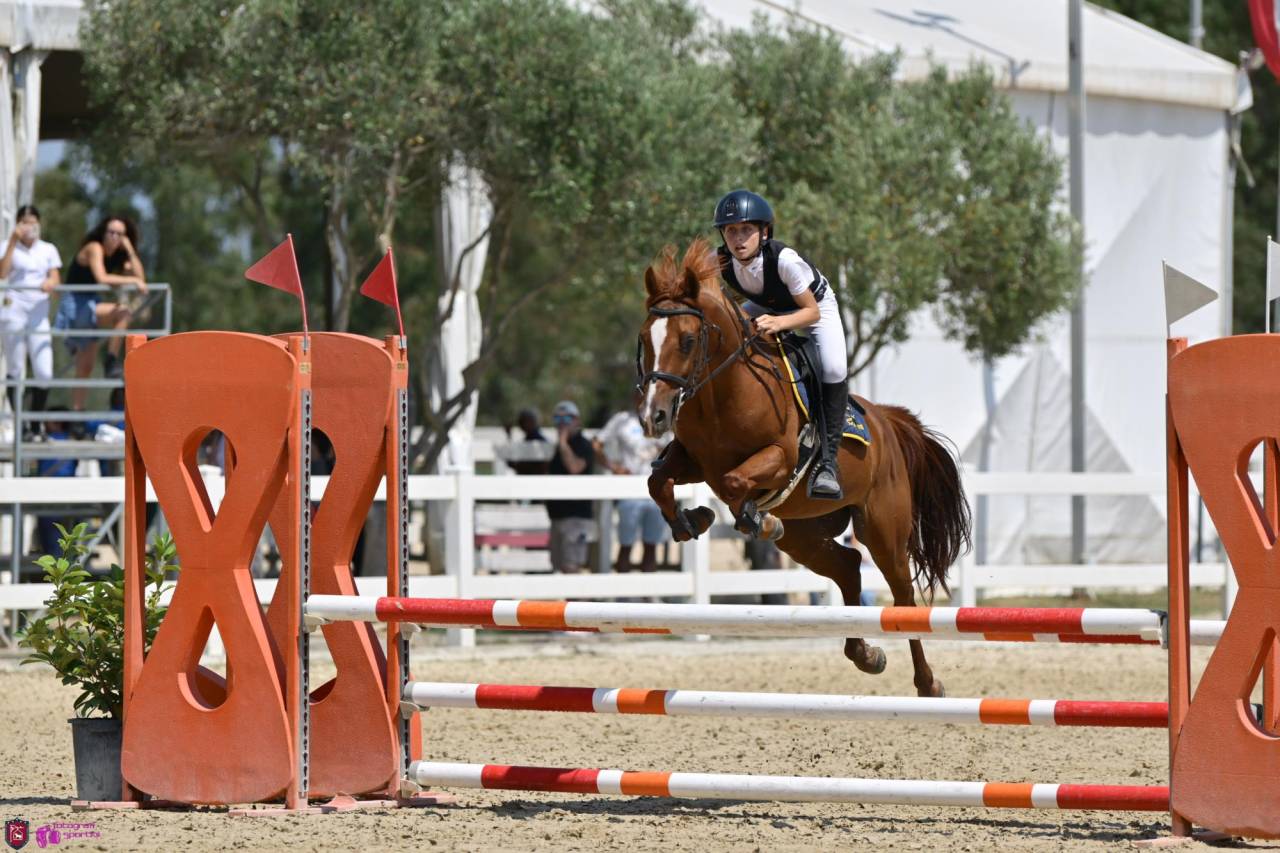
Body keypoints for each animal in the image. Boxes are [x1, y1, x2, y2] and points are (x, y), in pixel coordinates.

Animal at [636, 237, 972, 697]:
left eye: (687, 340)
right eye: (644, 340)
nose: (653, 417)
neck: (722, 392)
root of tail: (887, 420)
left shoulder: (780, 458)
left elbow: (735, 481)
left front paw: (756, 520)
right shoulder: (694, 460)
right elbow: (659, 482)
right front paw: (694, 520)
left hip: (883, 527)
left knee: (902, 597)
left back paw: (928, 684)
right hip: (806, 535)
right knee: (847, 567)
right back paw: (866, 655)